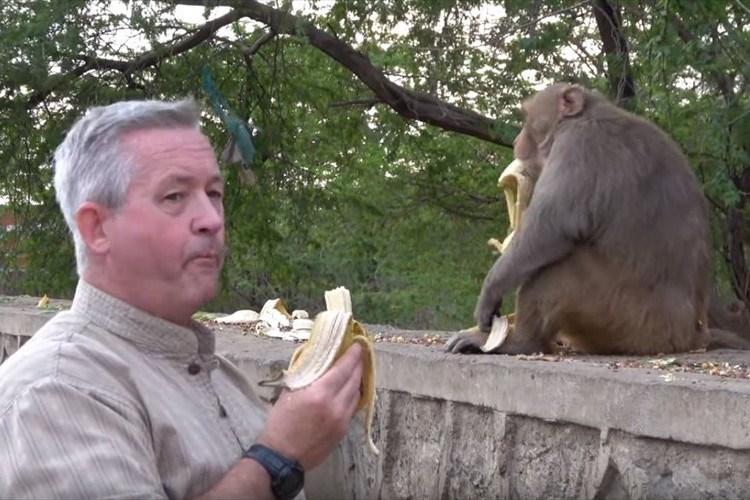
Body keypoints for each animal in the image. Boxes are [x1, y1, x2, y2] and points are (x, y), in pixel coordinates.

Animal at [446, 83, 750, 356]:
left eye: (527, 117)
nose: (516, 140)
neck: (585, 115)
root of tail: (694, 334)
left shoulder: (579, 145)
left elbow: (551, 229)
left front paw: (490, 292)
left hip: (633, 321)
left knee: (557, 270)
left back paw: (521, 342)